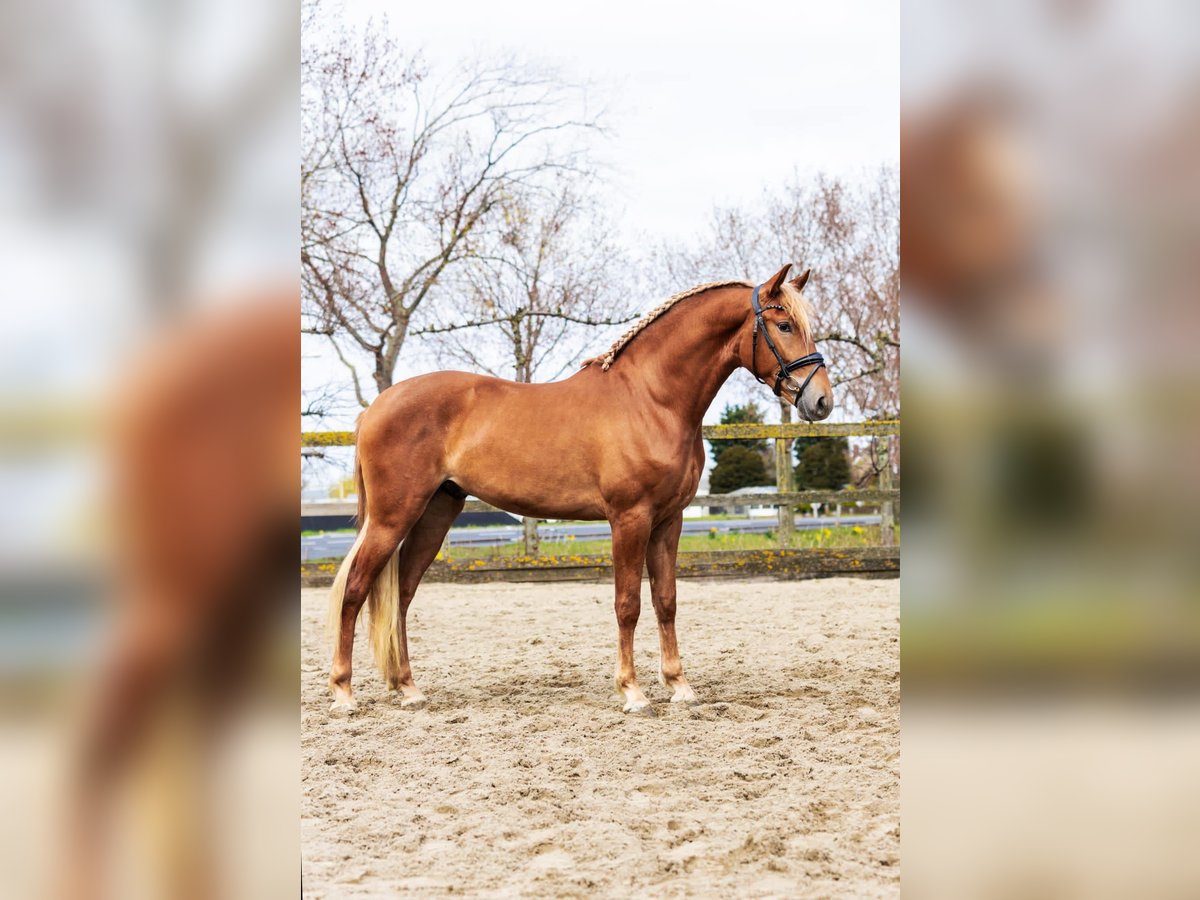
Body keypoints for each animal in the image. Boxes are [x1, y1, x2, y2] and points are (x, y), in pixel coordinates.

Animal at [328, 262, 835, 720]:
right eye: (784, 324)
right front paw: (632, 692)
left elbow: (666, 601)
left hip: (435, 512)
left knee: (402, 595)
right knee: (355, 588)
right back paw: (344, 693)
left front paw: (679, 686)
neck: (651, 399)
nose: (821, 401)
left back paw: (408, 689)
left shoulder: (669, 521)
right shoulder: (629, 519)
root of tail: (374, 408)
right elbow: (628, 604)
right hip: (393, 517)